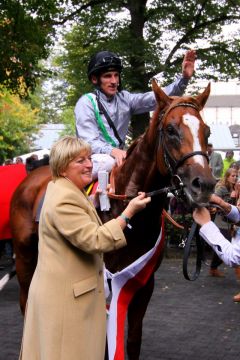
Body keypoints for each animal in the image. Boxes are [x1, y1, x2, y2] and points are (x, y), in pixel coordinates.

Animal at [9, 80, 216, 358]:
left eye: (207, 131)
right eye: (171, 130)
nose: (204, 184)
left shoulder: (144, 280)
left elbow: (133, 339)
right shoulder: (106, 280)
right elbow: (105, 342)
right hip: (24, 258)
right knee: (26, 301)